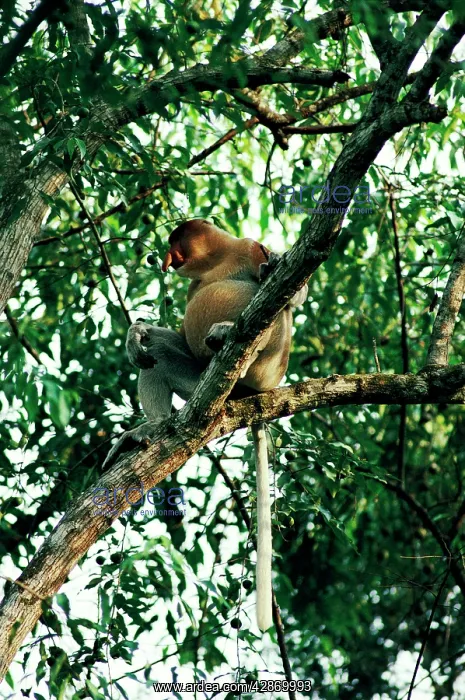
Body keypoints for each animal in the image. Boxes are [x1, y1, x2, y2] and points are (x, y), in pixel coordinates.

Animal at [106, 219, 307, 631]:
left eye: (175, 243)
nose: (167, 259)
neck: (219, 259)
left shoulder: (251, 247)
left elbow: (294, 294)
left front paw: (277, 263)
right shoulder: (194, 287)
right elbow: (174, 337)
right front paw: (137, 333)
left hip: (270, 364)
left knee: (274, 312)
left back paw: (229, 334)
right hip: (200, 379)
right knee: (158, 356)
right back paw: (150, 428)